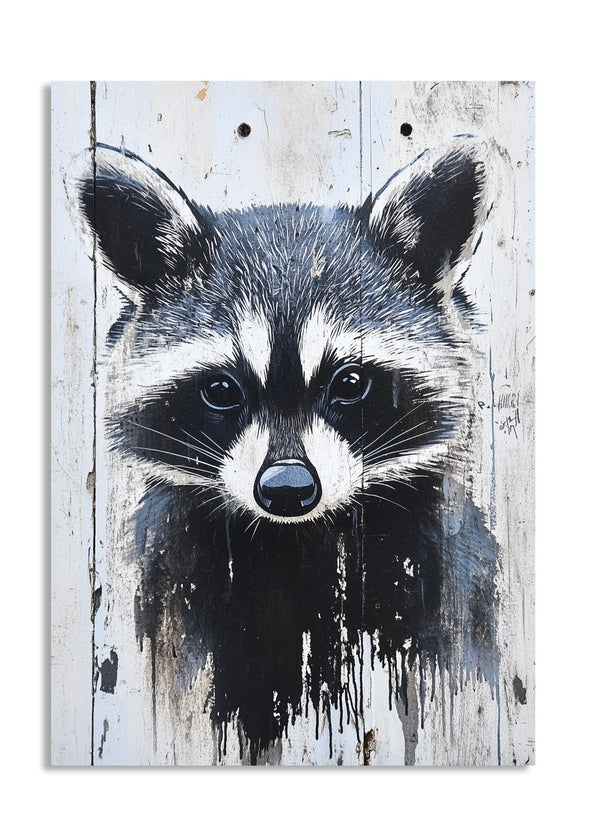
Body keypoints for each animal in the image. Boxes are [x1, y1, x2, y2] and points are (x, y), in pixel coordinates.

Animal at [71, 138, 497, 763]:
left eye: (349, 383)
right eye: (222, 389)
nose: (288, 489)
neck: (295, 543)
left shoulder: (437, 575)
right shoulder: (174, 582)